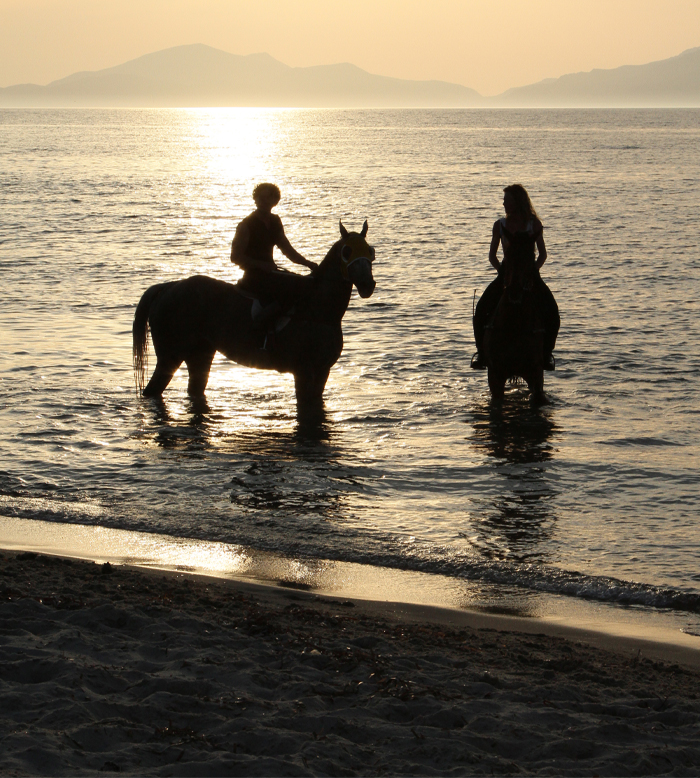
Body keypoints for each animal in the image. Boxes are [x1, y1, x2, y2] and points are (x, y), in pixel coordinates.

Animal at [135, 218, 378, 400]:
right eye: (346, 251)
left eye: (370, 251)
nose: (367, 285)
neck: (318, 309)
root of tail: (168, 287)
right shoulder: (304, 372)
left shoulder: (322, 372)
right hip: (170, 356)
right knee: (152, 390)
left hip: (200, 354)